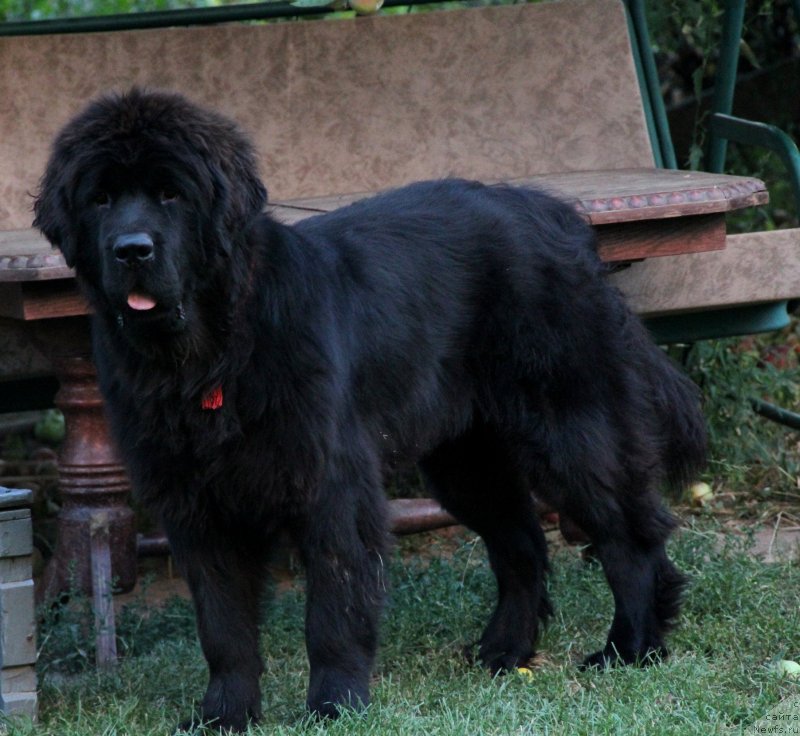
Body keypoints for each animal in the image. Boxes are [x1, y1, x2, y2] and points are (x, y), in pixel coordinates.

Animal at [34, 89, 704, 728]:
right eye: (100, 199)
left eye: (171, 194)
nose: (132, 249)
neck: (212, 355)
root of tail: (557, 215)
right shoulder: (197, 505)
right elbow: (223, 627)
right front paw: (223, 715)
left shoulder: (331, 486)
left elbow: (333, 611)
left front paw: (334, 705)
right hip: (467, 462)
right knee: (522, 548)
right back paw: (503, 652)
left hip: (573, 428)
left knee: (628, 535)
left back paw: (629, 649)